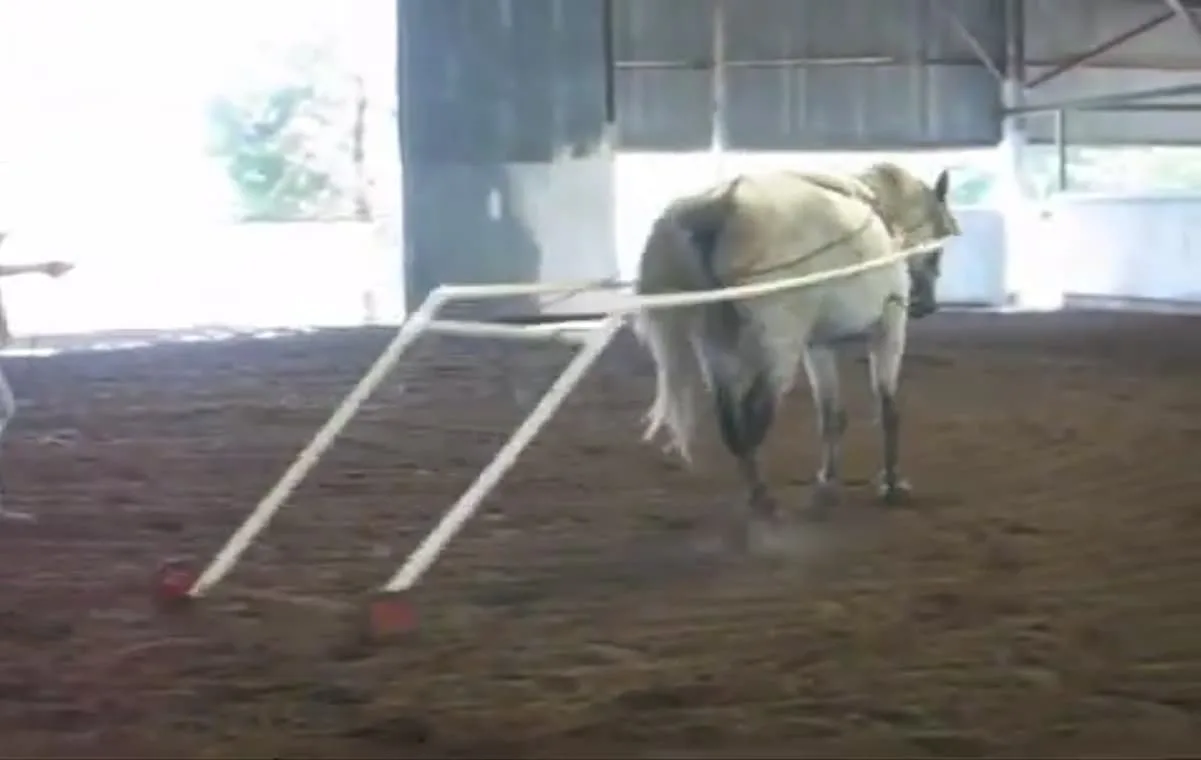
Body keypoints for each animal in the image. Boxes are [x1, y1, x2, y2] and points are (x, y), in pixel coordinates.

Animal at [634, 162, 960, 540]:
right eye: (940, 240)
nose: (926, 305)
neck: (885, 215)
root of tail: (722, 205)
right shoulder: (889, 328)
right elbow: (888, 409)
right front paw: (892, 485)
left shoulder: (818, 345)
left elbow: (831, 416)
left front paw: (828, 484)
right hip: (779, 351)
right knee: (754, 420)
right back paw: (763, 502)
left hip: (718, 352)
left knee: (733, 428)